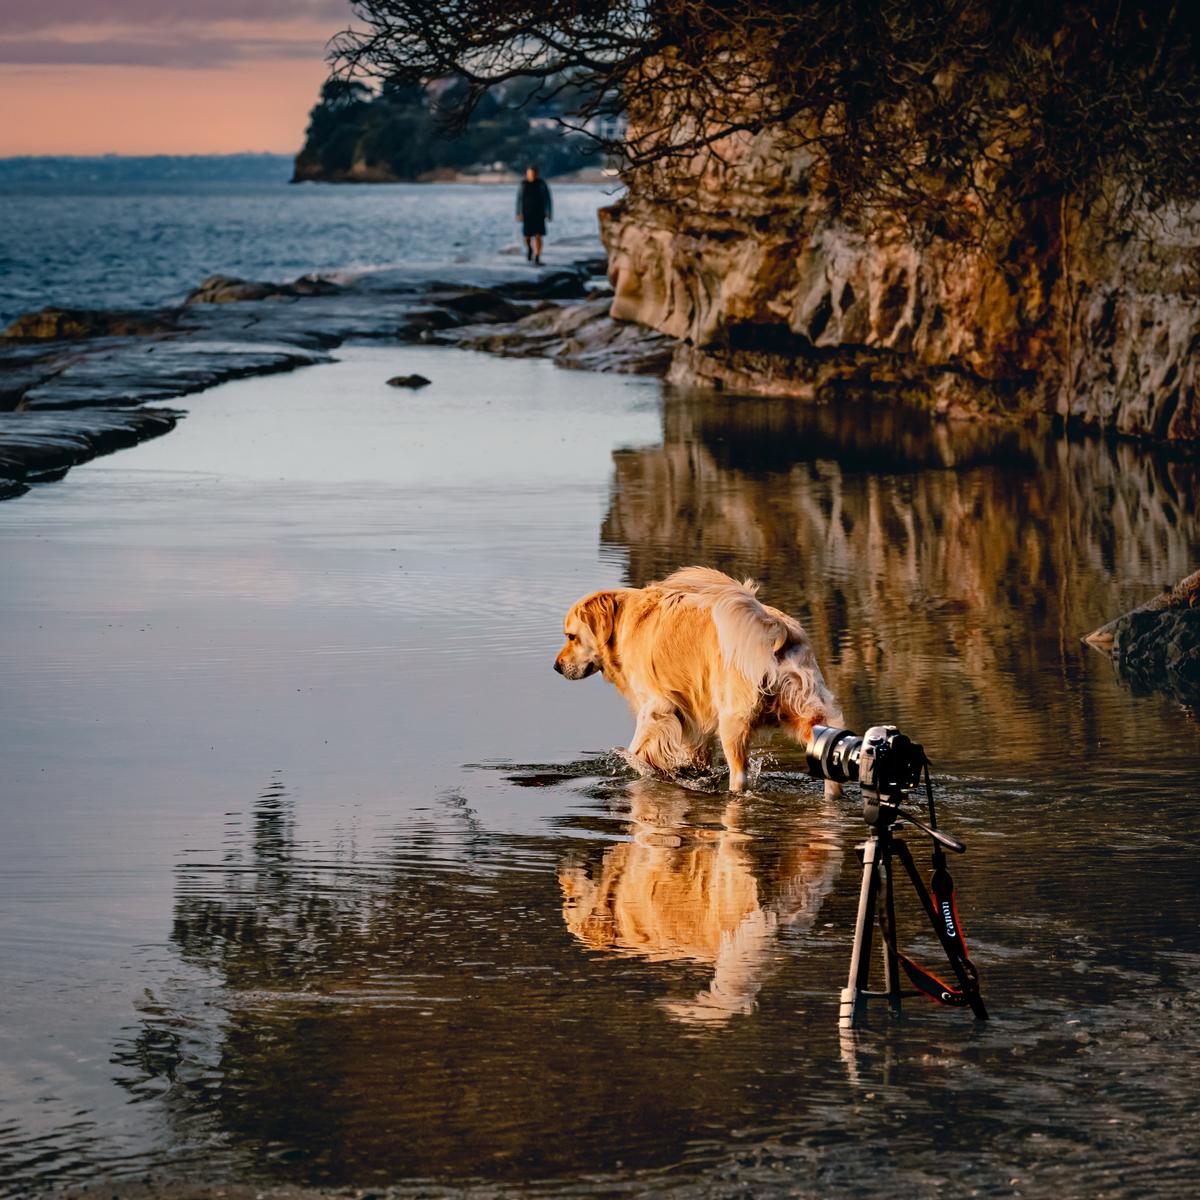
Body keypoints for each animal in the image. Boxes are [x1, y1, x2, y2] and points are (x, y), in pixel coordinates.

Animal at [552, 566, 844, 792]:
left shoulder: (655, 707)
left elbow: (637, 750)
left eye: (571, 637)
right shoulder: (695, 718)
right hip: (805, 710)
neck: (623, 620)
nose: (556, 667)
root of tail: (776, 629)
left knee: (740, 774)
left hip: (733, 721)